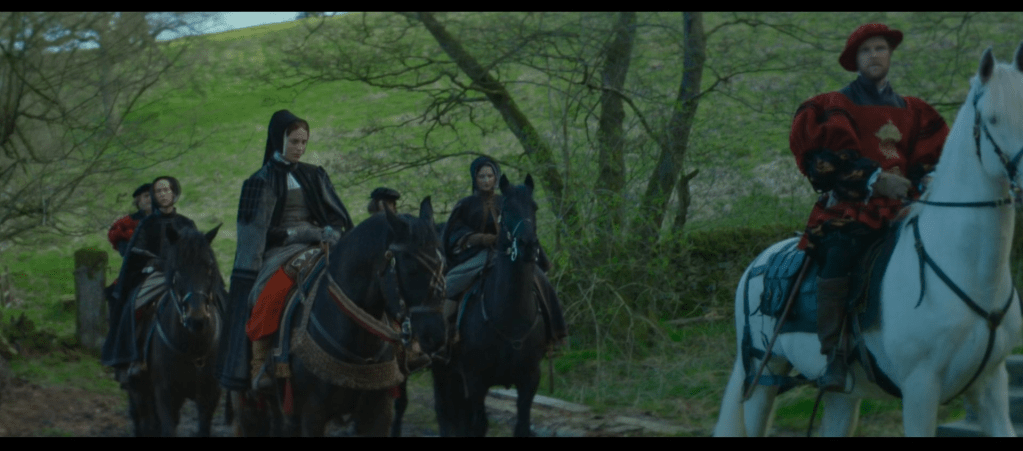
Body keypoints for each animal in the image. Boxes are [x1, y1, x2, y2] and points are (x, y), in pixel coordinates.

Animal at [127, 225, 225, 437]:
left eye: (209, 268)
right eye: (178, 270)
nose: (197, 319)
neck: (193, 347)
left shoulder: (209, 397)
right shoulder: (166, 397)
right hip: (139, 390)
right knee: (141, 420)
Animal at [430, 174, 548, 437]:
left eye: (535, 207)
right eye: (506, 209)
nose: (528, 245)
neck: (511, 318)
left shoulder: (530, 378)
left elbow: (522, 426)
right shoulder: (475, 380)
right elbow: (478, 426)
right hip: (442, 369)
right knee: (444, 412)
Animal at [714, 43, 1023, 437]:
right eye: (993, 120)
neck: (968, 271)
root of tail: (757, 262)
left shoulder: (991, 383)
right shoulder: (920, 388)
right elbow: (823, 157)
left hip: (842, 394)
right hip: (764, 375)